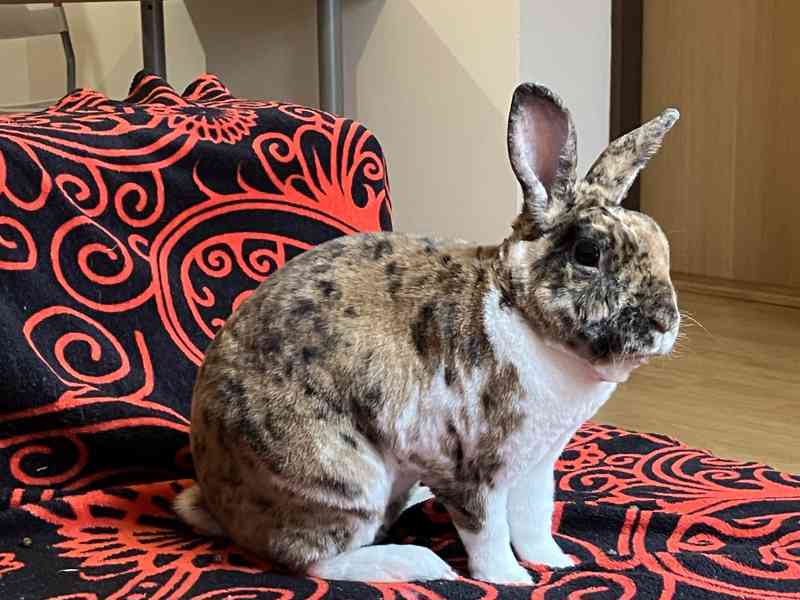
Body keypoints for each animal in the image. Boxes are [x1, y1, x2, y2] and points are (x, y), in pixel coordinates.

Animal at [173, 82, 681, 584]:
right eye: (588, 253)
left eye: (660, 240)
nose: (665, 321)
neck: (521, 313)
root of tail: (220, 506)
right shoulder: (472, 470)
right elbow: (488, 532)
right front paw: (512, 579)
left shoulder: (537, 467)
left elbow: (534, 519)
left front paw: (556, 562)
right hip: (339, 479)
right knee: (308, 557)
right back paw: (419, 563)